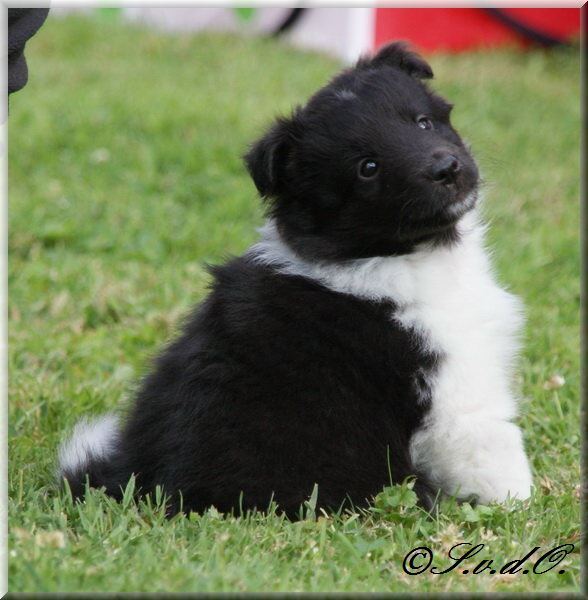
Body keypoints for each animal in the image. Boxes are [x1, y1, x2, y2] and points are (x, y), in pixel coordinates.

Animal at [58, 42, 532, 518]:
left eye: (422, 121)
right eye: (368, 167)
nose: (446, 169)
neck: (389, 253)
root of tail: (137, 484)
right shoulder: (459, 390)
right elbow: (497, 453)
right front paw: (525, 506)